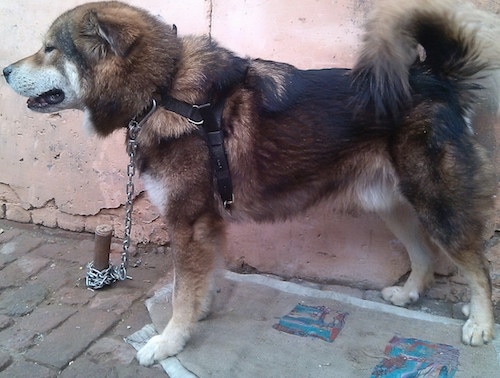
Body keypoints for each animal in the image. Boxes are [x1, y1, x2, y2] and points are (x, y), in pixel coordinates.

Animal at [3, 0, 500, 366]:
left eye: (50, 48)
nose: (5, 71)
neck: (162, 90)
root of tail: (436, 80)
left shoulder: (188, 222)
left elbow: (181, 289)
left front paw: (169, 341)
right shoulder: (206, 224)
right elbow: (201, 280)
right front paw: (197, 316)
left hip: (436, 202)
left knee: (475, 263)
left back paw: (480, 323)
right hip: (392, 203)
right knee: (425, 254)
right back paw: (410, 293)